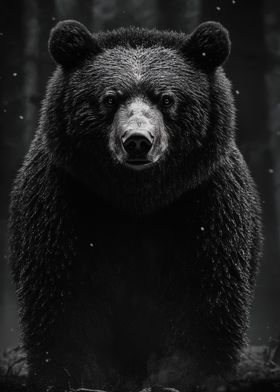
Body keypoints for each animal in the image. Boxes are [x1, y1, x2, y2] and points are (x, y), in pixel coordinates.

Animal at [8, 19, 262, 392]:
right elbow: (62, 300)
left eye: (167, 98)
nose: (138, 141)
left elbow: (205, 299)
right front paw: (74, 375)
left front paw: (187, 375)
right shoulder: (64, 202)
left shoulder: (205, 205)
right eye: (109, 98)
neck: (137, 198)